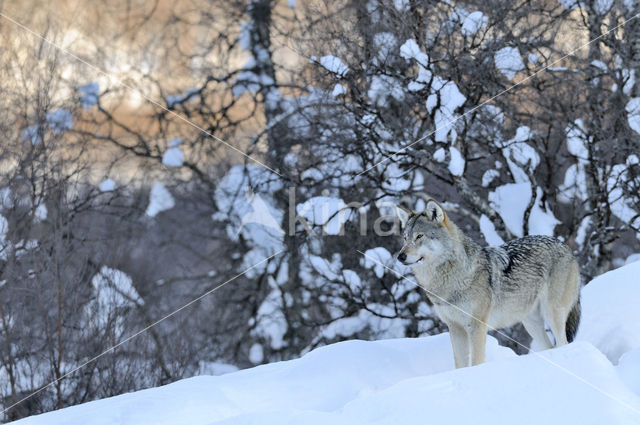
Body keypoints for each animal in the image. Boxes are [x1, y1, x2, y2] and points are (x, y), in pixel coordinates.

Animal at [396, 200, 580, 366]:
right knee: (549, 347)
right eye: (405, 238)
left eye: (420, 236)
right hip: (531, 323)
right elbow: (460, 364)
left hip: (553, 314)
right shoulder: (455, 328)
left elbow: (477, 362)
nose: (400, 256)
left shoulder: (476, 326)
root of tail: (567, 247)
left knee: (563, 343)